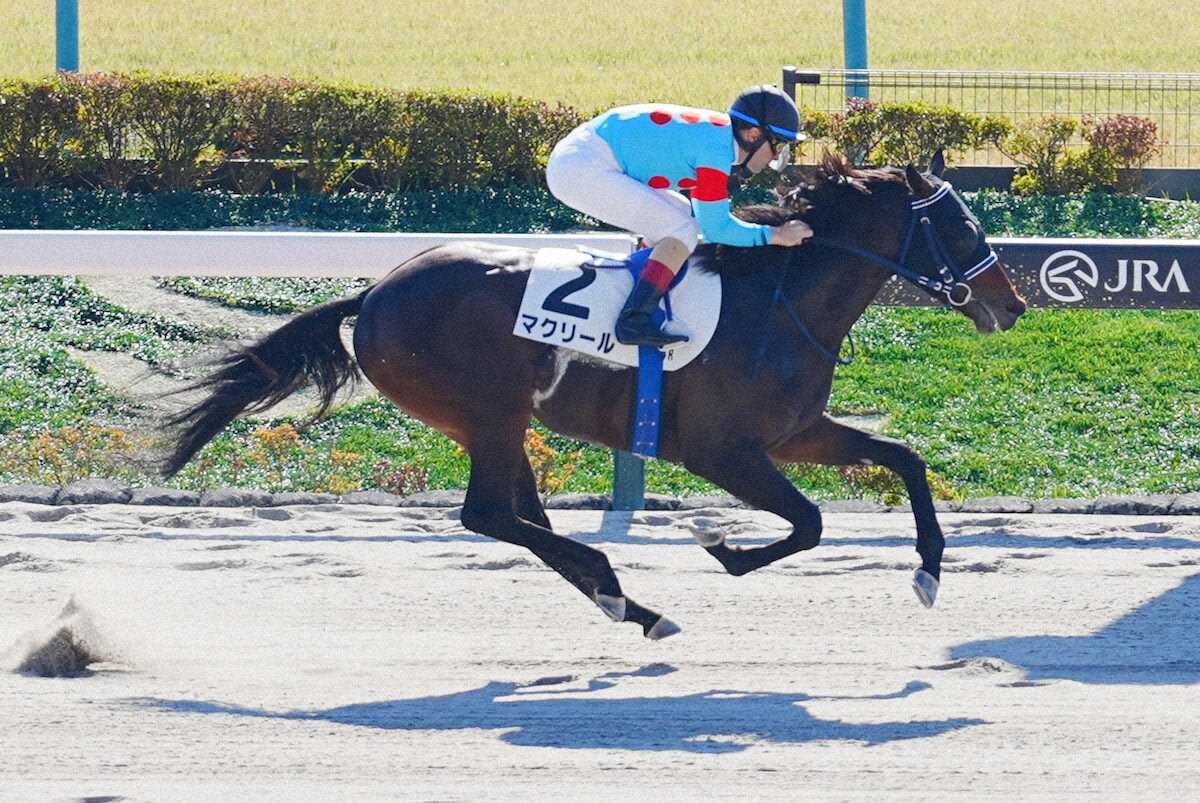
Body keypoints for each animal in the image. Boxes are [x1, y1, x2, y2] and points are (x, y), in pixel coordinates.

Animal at [162, 151, 1027, 640]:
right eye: (962, 226)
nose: (1012, 303)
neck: (781, 302)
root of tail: (372, 293)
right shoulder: (721, 450)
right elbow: (810, 522)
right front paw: (722, 545)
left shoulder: (794, 433)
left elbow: (905, 459)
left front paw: (929, 571)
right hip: (489, 409)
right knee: (489, 515)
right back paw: (625, 593)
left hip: (492, 420)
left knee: (521, 518)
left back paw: (623, 600)